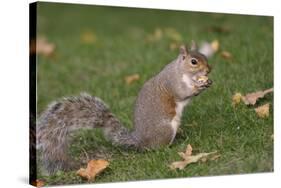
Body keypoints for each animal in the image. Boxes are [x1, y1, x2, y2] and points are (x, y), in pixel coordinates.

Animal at [37, 43, 211, 174]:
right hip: (166, 129)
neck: (181, 71)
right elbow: (183, 93)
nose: (209, 70)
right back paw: (172, 146)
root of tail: (140, 141)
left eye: (205, 56)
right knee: (156, 148)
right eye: (194, 61)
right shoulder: (173, 83)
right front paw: (199, 87)